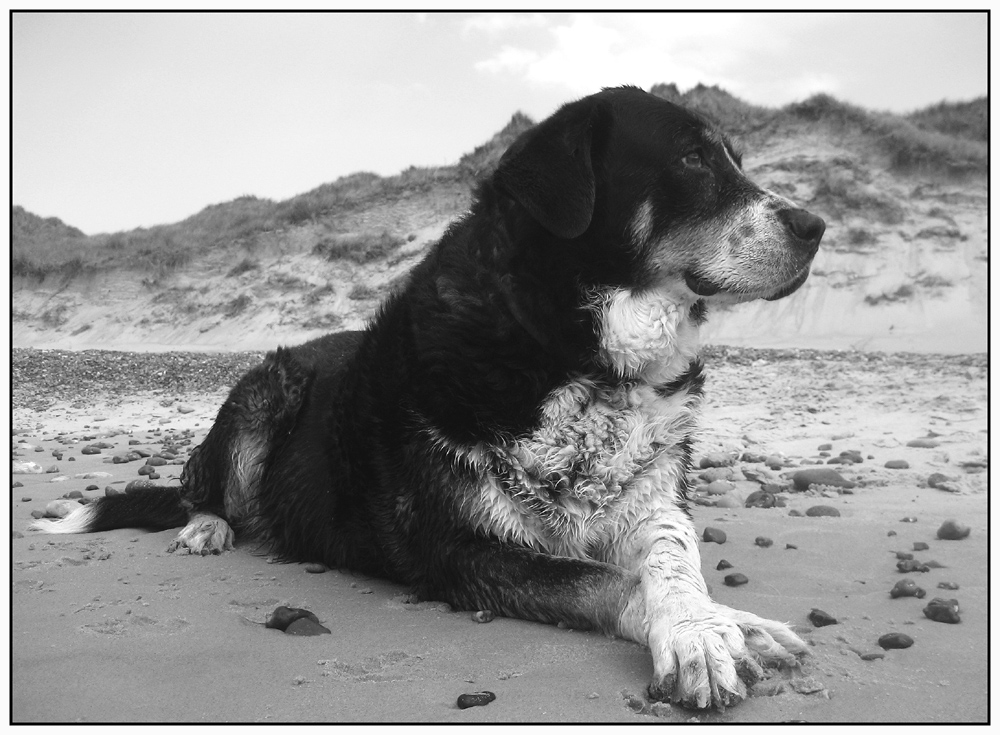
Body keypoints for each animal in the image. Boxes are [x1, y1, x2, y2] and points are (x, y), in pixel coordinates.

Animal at [33, 87, 828, 712]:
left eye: (733, 157)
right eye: (693, 159)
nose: (816, 226)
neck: (575, 353)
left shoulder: (654, 499)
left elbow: (671, 561)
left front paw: (722, 623)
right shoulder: (461, 549)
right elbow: (604, 579)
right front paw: (701, 637)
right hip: (264, 389)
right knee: (202, 487)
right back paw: (207, 528)